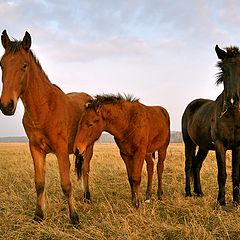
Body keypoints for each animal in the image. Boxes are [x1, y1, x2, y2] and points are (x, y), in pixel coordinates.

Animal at [0, 30, 94, 225]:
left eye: (25, 65)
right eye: (1, 64)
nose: (6, 105)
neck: (44, 109)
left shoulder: (61, 150)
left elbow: (66, 184)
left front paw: (74, 218)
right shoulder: (36, 149)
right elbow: (39, 183)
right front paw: (38, 215)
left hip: (88, 147)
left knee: (86, 170)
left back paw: (87, 198)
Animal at [183, 44, 240, 204]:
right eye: (223, 69)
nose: (232, 101)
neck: (232, 115)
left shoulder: (237, 146)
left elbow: (235, 175)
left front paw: (236, 202)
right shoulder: (220, 145)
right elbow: (222, 174)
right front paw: (221, 201)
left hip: (203, 146)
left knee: (197, 165)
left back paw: (199, 192)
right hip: (189, 143)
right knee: (188, 165)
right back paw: (188, 193)